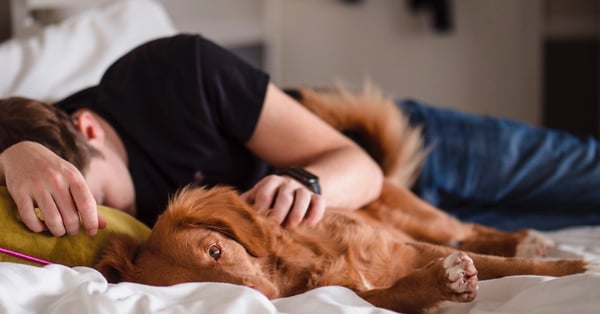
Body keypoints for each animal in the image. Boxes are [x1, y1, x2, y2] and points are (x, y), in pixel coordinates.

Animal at [94, 87, 600, 312]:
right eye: (190, 289)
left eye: (216, 250)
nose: (264, 298)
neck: (303, 262)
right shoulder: (357, 293)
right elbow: (399, 291)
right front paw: (443, 283)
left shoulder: (407, 245)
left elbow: (509, 266)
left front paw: (575, 267)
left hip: (425, 220)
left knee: (471, 229)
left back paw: (527, 239)